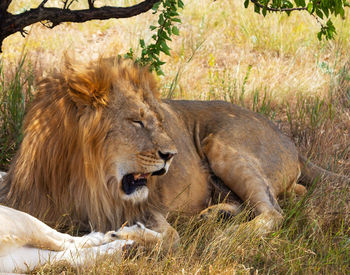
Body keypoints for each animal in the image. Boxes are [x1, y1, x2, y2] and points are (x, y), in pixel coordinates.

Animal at [0, 57, 348, 251]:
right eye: (137, 121)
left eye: (156, 119)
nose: (171, 154)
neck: (84, 178)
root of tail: (290, 141)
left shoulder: (147, 209)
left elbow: (171, 238)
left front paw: (127, 236)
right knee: (286, 195)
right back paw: (216, 214)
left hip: (221, 143)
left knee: (274, 211)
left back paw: (225, 238)